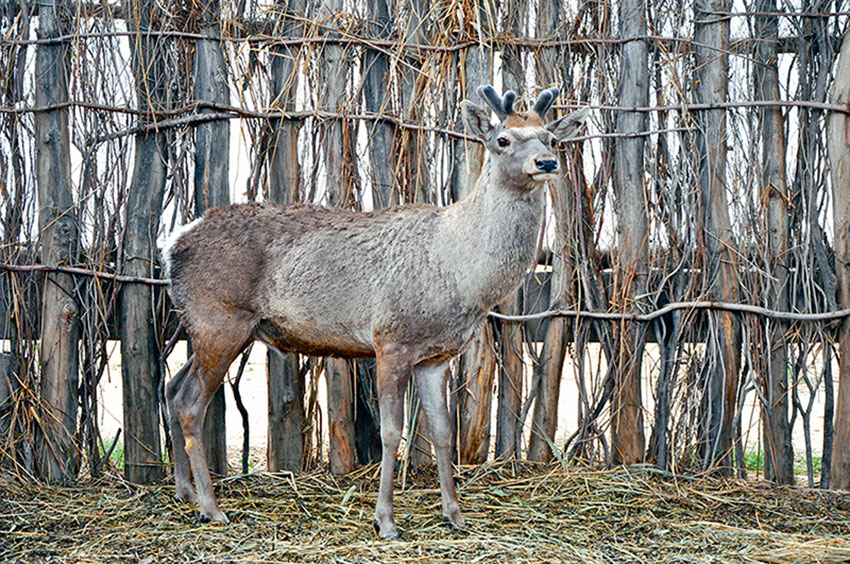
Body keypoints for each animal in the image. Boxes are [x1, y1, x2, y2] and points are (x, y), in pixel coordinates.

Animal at [162, 83, 588, 536]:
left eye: (552, 138)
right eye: (503, 139)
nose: (546, 162)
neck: (459, 273)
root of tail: (172, 244)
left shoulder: (437, 355)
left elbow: (442, 431)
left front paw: (454, 515)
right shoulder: (391, 339)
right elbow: (391, 431)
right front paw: (385, 520)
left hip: (204, 326)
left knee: (170, 387)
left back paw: (185, 493)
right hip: (220, 319)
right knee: (190, 402)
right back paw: (211, 507)